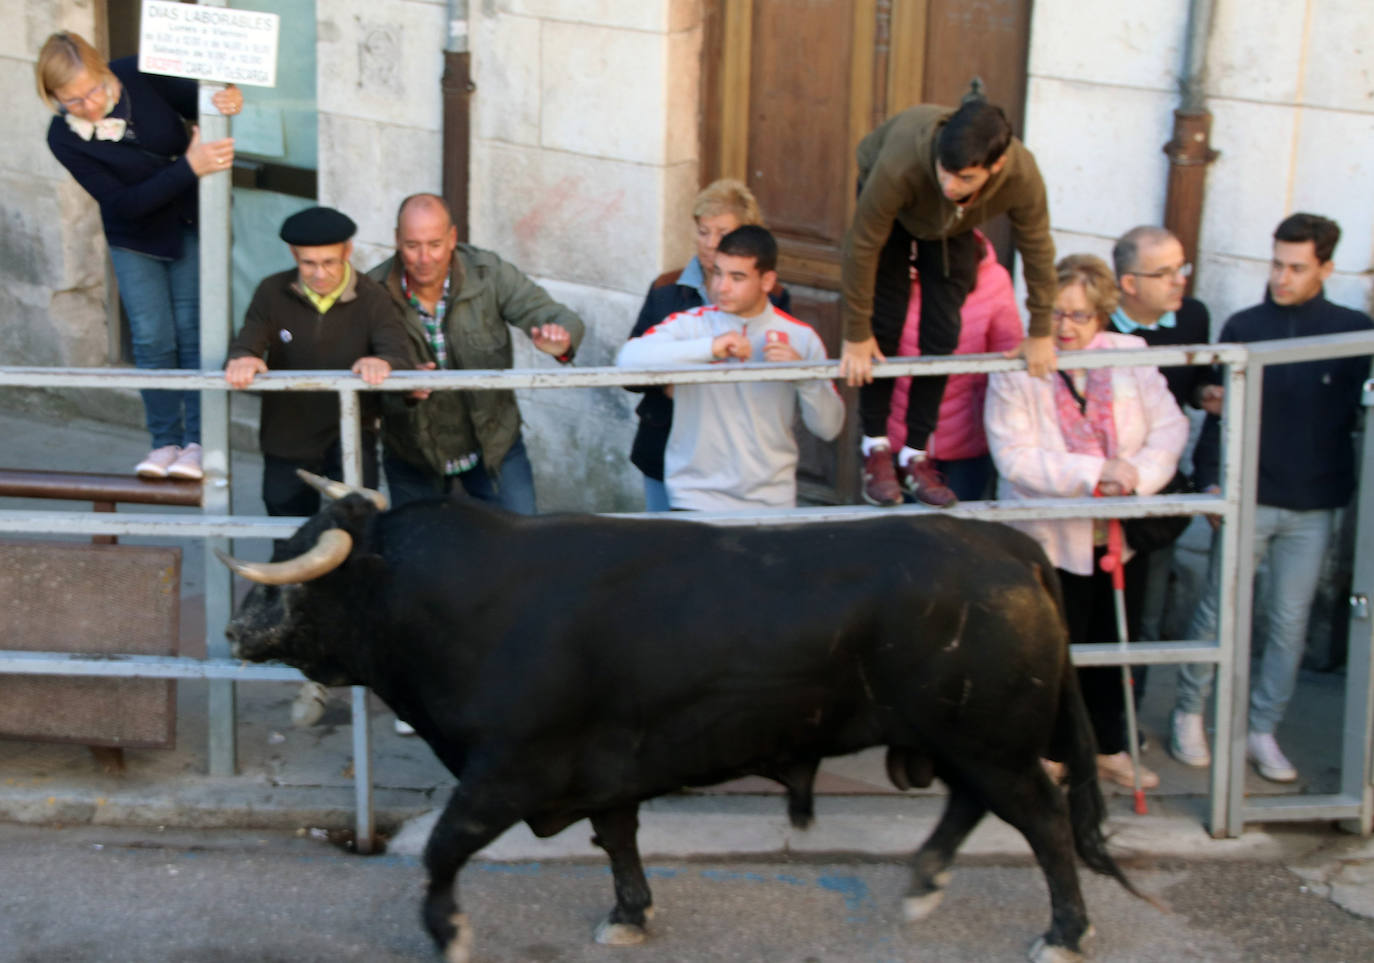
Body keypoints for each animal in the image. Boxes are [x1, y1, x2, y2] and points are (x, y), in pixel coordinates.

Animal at [222, 491, 1148, 956]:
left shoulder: (508, 769)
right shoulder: (600, 768)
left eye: (299, 569)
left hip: (992, 742)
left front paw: (448, 930)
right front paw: (629, 914)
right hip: (962, 741)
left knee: (1043, 821)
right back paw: (922, 887)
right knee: (972, 806)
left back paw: (1063, 932)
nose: (234, 629)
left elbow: (445, 847)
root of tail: (1009, 545)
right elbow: (619, 838)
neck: (457, 597)